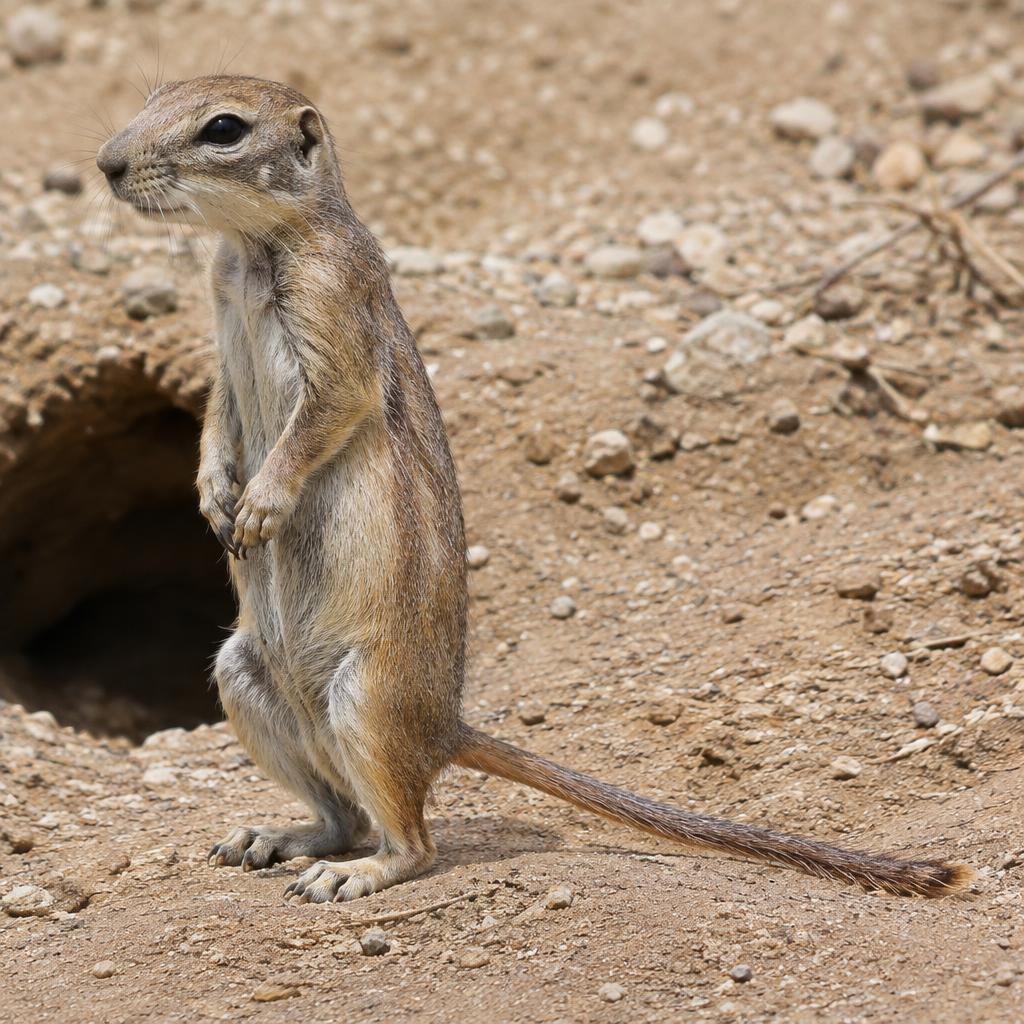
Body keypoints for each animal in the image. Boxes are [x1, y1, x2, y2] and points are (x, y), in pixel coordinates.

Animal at [97, 75, 973, 903]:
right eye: (152, 96)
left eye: (224, 128)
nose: (106, 163)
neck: (253, 245)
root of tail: (445, 730)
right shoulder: (219, 326)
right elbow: (214, 421)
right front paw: (215, 498)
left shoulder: (334, 316)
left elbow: (323, 417)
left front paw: (259, 505)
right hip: (245, 680)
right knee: (342, 818)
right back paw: (274, 838)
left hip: (365, 700)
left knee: (411, 841)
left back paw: (353, 876)